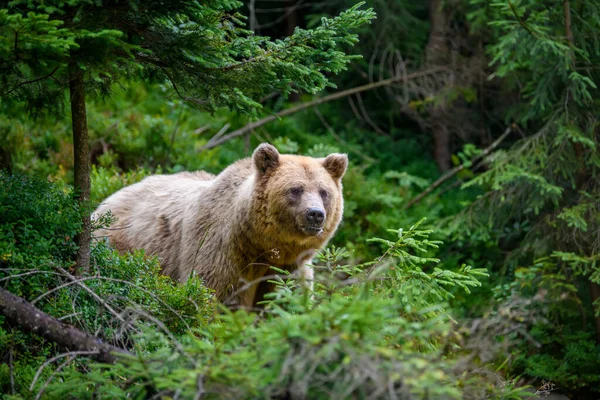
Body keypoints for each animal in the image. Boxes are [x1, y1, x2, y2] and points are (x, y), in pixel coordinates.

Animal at [92, 142, 346, 308]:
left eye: (324, 192)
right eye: (295, 189)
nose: (315, 214)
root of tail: (106, 201)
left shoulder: (289, 267)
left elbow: (285, 302)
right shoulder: (221, 249)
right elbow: (214, 294)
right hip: (123, 247)